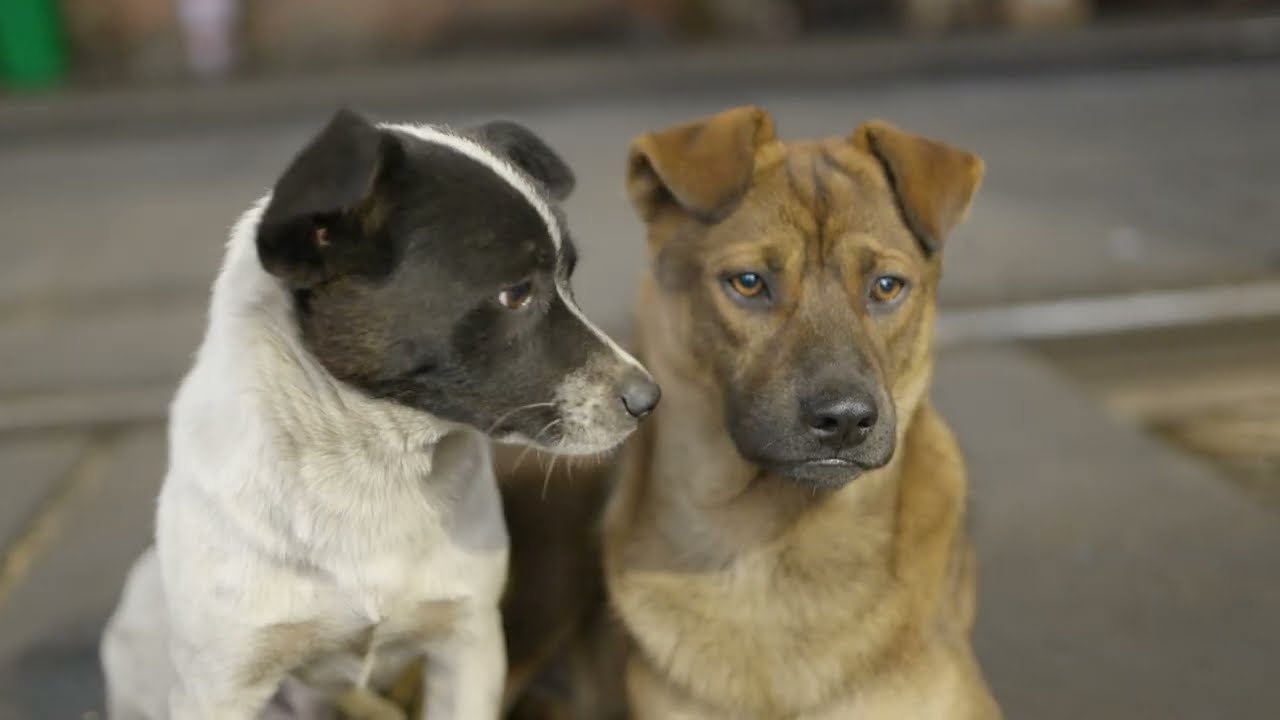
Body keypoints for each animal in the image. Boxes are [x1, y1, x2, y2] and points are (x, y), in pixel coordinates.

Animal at [101, 107, 660, 717]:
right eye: (516, 293)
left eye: (569, 278)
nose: (648, 400)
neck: (374, 468)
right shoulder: (224, 685)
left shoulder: (467, 644)